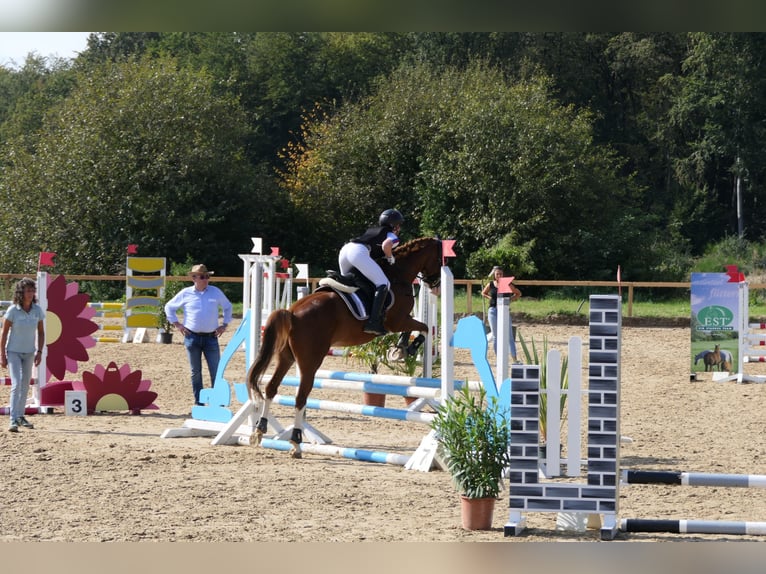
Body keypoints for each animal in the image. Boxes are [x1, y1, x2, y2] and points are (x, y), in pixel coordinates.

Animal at [248, 237, 444, 460]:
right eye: (440, 259)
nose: (436, 286)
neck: (398, 274)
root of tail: (292, 313)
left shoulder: (400, 321)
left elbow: (419, 328)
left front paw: (400, 348)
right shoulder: (398, 321)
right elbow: (424, 328)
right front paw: (406, 348)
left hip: (286, 357)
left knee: (271, 388)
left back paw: (259, 430)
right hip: (310, 362)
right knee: (300, 397)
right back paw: (296, 442)